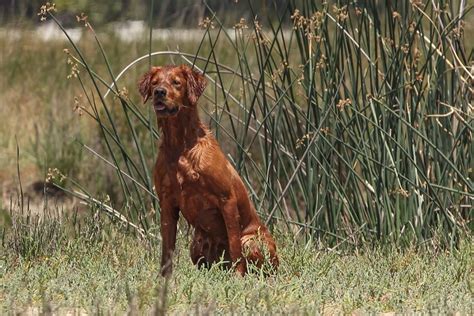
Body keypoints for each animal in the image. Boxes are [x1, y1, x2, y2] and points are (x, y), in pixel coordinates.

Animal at [137, 65, 278, 276]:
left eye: (176, 82)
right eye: (154, 83)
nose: (159, 92)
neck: (180, 146)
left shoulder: (227, 199)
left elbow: (234, 246)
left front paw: (238, 277)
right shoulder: (167, 202)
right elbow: (167, 249)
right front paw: (164, 279)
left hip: (250, 240)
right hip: (196, 243)